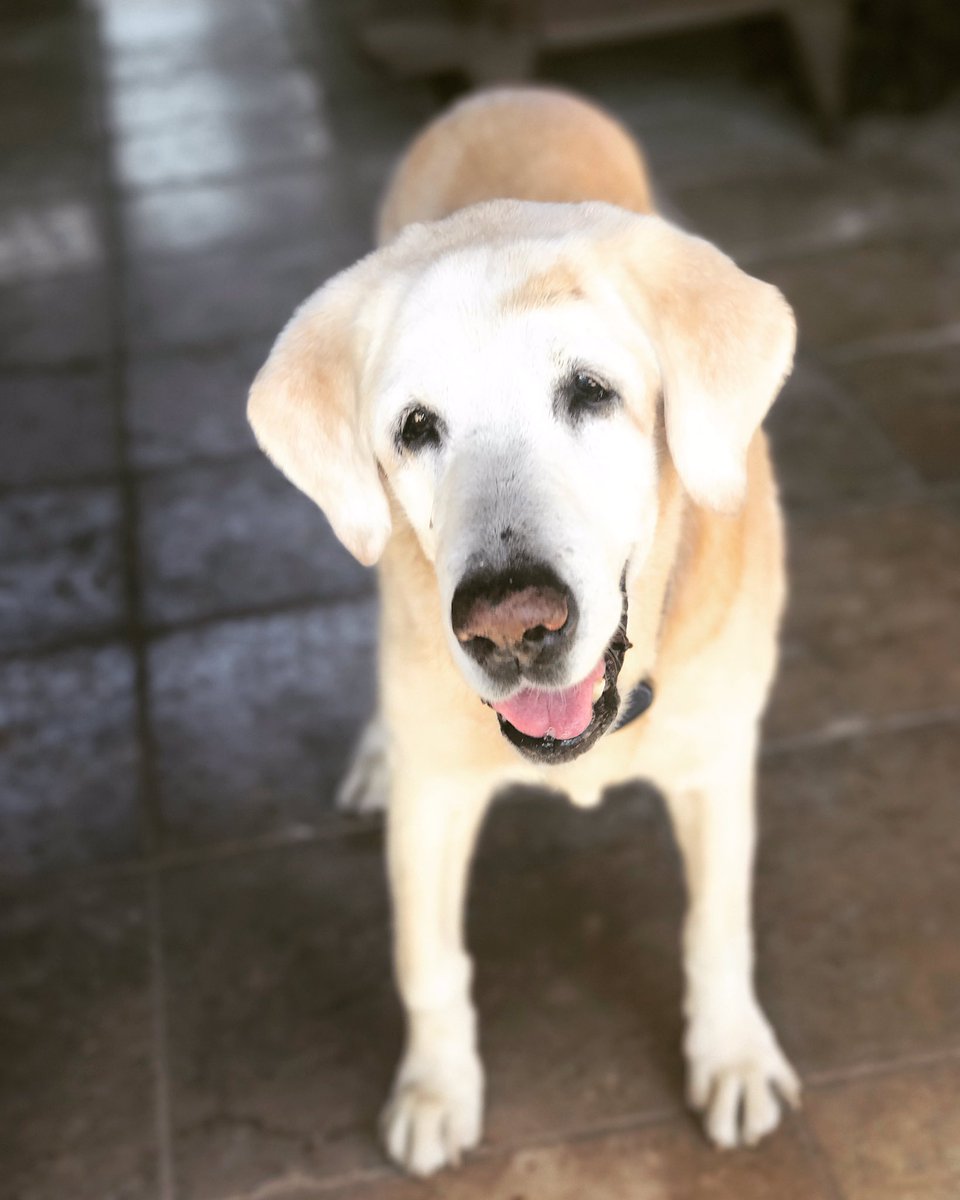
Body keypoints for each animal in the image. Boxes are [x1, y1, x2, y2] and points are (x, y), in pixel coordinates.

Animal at [248, 86, 799, 1177]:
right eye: (416, 428)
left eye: (591, 392)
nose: (509, 625)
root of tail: (510, 90)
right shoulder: (436, 799)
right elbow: (427, 961)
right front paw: (436, 1090)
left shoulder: (718, 764)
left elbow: (717, 930)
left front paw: (731, 1056)